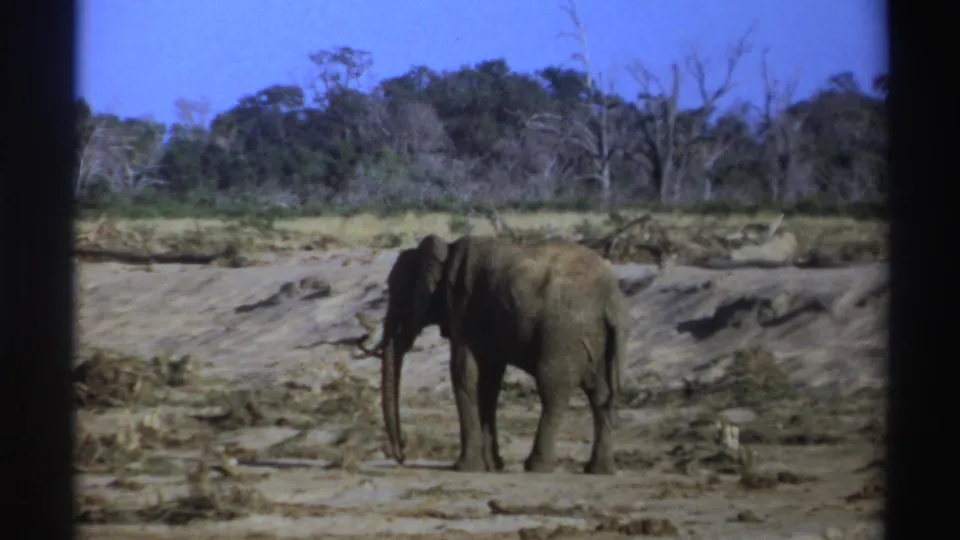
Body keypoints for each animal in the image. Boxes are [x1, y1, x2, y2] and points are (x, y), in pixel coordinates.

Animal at [365, 234, 628, 475]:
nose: (402, 455)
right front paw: (492, 466)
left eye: (397, 293)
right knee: (599, 393)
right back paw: (599, 470)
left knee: (553, 390)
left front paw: (465, 468)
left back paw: (537, 467)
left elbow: (464, 374)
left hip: (564, 332)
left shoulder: (463, 308)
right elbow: (489, 381)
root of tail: (611, 301)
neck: (446, 250)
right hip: (594, 337)